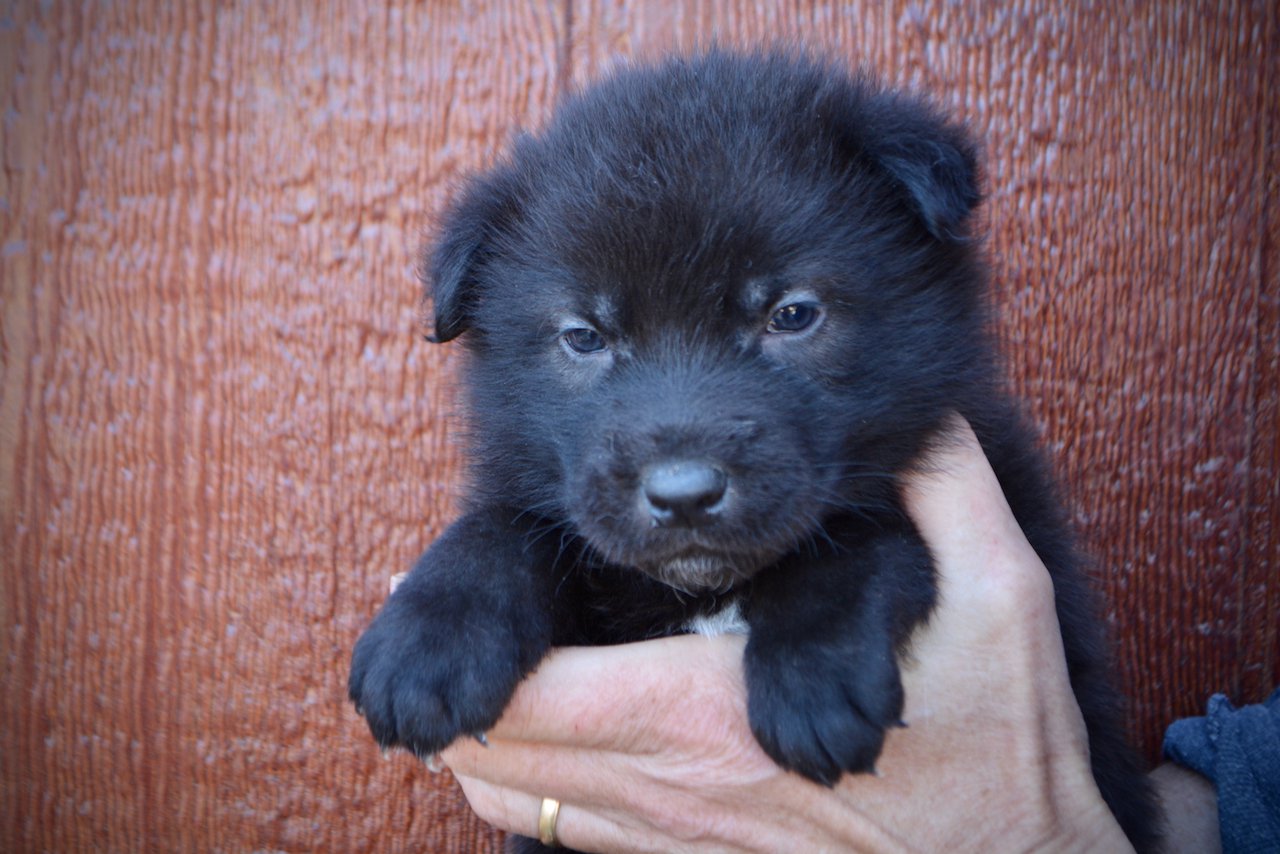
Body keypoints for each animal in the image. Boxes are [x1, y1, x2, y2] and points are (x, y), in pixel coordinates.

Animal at [350, 50, 1162, 850]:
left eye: (792, 315)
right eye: (583, 336)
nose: (682, 495)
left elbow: (861, 531)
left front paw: (815, 669)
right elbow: (509, 524)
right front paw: (431, 635)